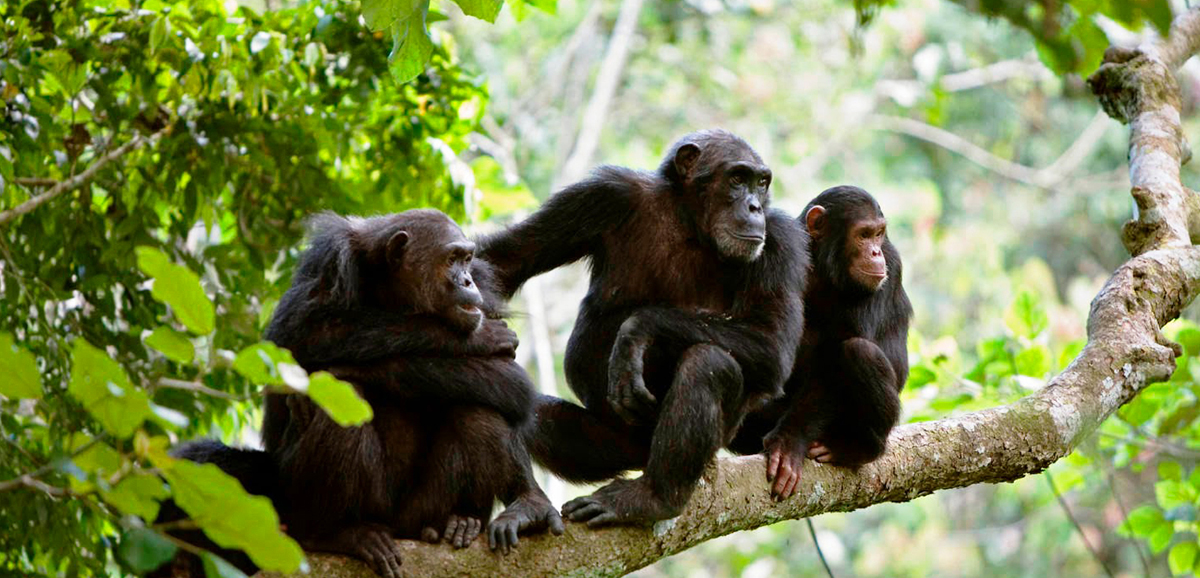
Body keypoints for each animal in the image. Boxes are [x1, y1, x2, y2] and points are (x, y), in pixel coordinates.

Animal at [164, 208, 561, 578]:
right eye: (451, 259)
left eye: (466, 259)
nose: (465, 280)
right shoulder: (330, 261)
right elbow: (302, 334)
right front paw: (477, 338)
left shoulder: (484, 286)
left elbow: (508, 380)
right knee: (339, 401)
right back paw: (337, 533)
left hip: (417, 514)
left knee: (479, 408)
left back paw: (475, 517)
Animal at [477, 128, 806, 525]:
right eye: (737, 179)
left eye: (761, 183)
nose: (755, 206)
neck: (689, 222)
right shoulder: (602, 194)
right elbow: (504, 261)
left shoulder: (781, 241)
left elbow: (772, 342)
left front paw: (636, 331)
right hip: (613, 445)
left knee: (710, 364)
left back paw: (652, 498)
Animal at [729, 184, 907, 496]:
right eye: (863, 234)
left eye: (879, 234)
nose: (875, 252)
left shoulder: (891, 262)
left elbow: (837, 354)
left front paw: (789, 442)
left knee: (858, 352)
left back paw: (858, 447)